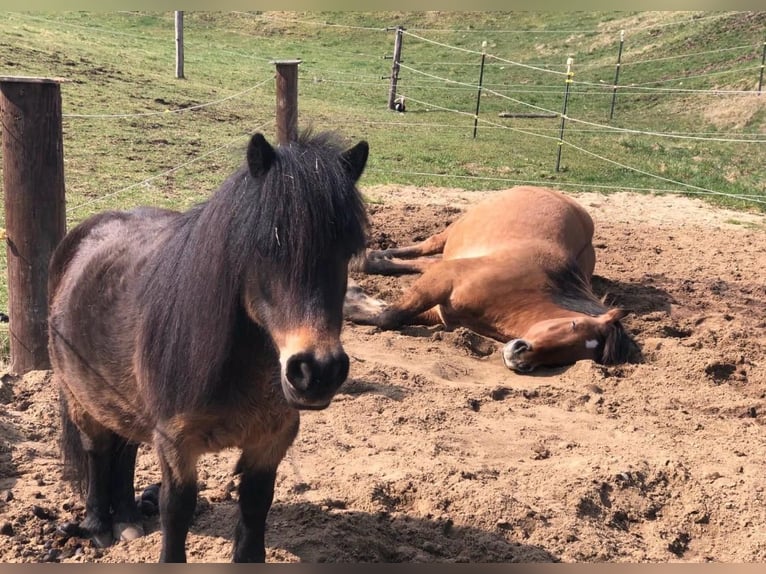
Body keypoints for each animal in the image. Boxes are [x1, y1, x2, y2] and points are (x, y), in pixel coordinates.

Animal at [48, 130, 369, 562]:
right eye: (267, 245)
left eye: (347, 251)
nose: (317, 371)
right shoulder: (175, 444)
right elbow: (177, 511)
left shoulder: (271, 441)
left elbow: (255, 508)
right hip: (79, 396)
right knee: (96, 450)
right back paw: (99, 527)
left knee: (124, 450)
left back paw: (128, 520)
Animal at [344, 185, 638, 373]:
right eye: (574, 324)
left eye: (575, 357)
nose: (520, 357)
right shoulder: (443, 279)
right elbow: (390, 316)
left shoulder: (441, 311)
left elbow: (392, 313)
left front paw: (354, 299)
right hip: (453, 231)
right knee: (427, 247)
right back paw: (369, 258)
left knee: (424, 262)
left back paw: (374, 259)